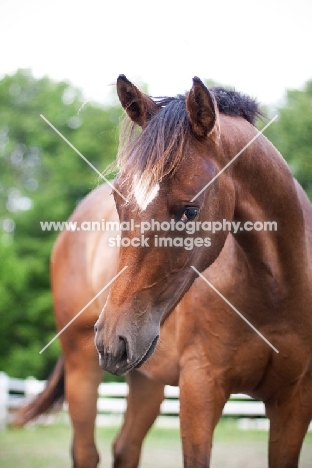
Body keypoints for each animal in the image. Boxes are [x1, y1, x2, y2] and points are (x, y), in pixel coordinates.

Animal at [94, 75, 312, 466]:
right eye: (119, 200)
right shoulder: (200, 388)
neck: (276, 292)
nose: (111, 342)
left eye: (189, 211)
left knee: (126, 446)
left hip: (147, 380)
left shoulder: (295, 401)